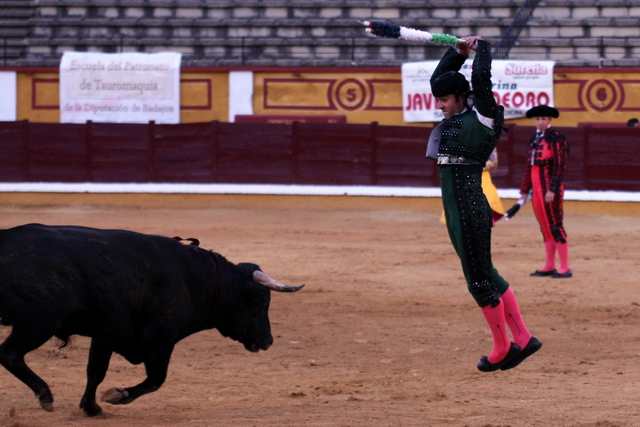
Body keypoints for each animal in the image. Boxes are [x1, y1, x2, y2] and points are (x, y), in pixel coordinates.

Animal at [0, 226, 304, 416]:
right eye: (260, 300)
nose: (268, 341)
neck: (197, 279)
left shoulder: (105, 335)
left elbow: (95, 371)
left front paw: (92, 408)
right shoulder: (161, 340)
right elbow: (157, 379)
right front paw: (116, 395)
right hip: (38, 324)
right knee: (10, 354)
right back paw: (45, 397)